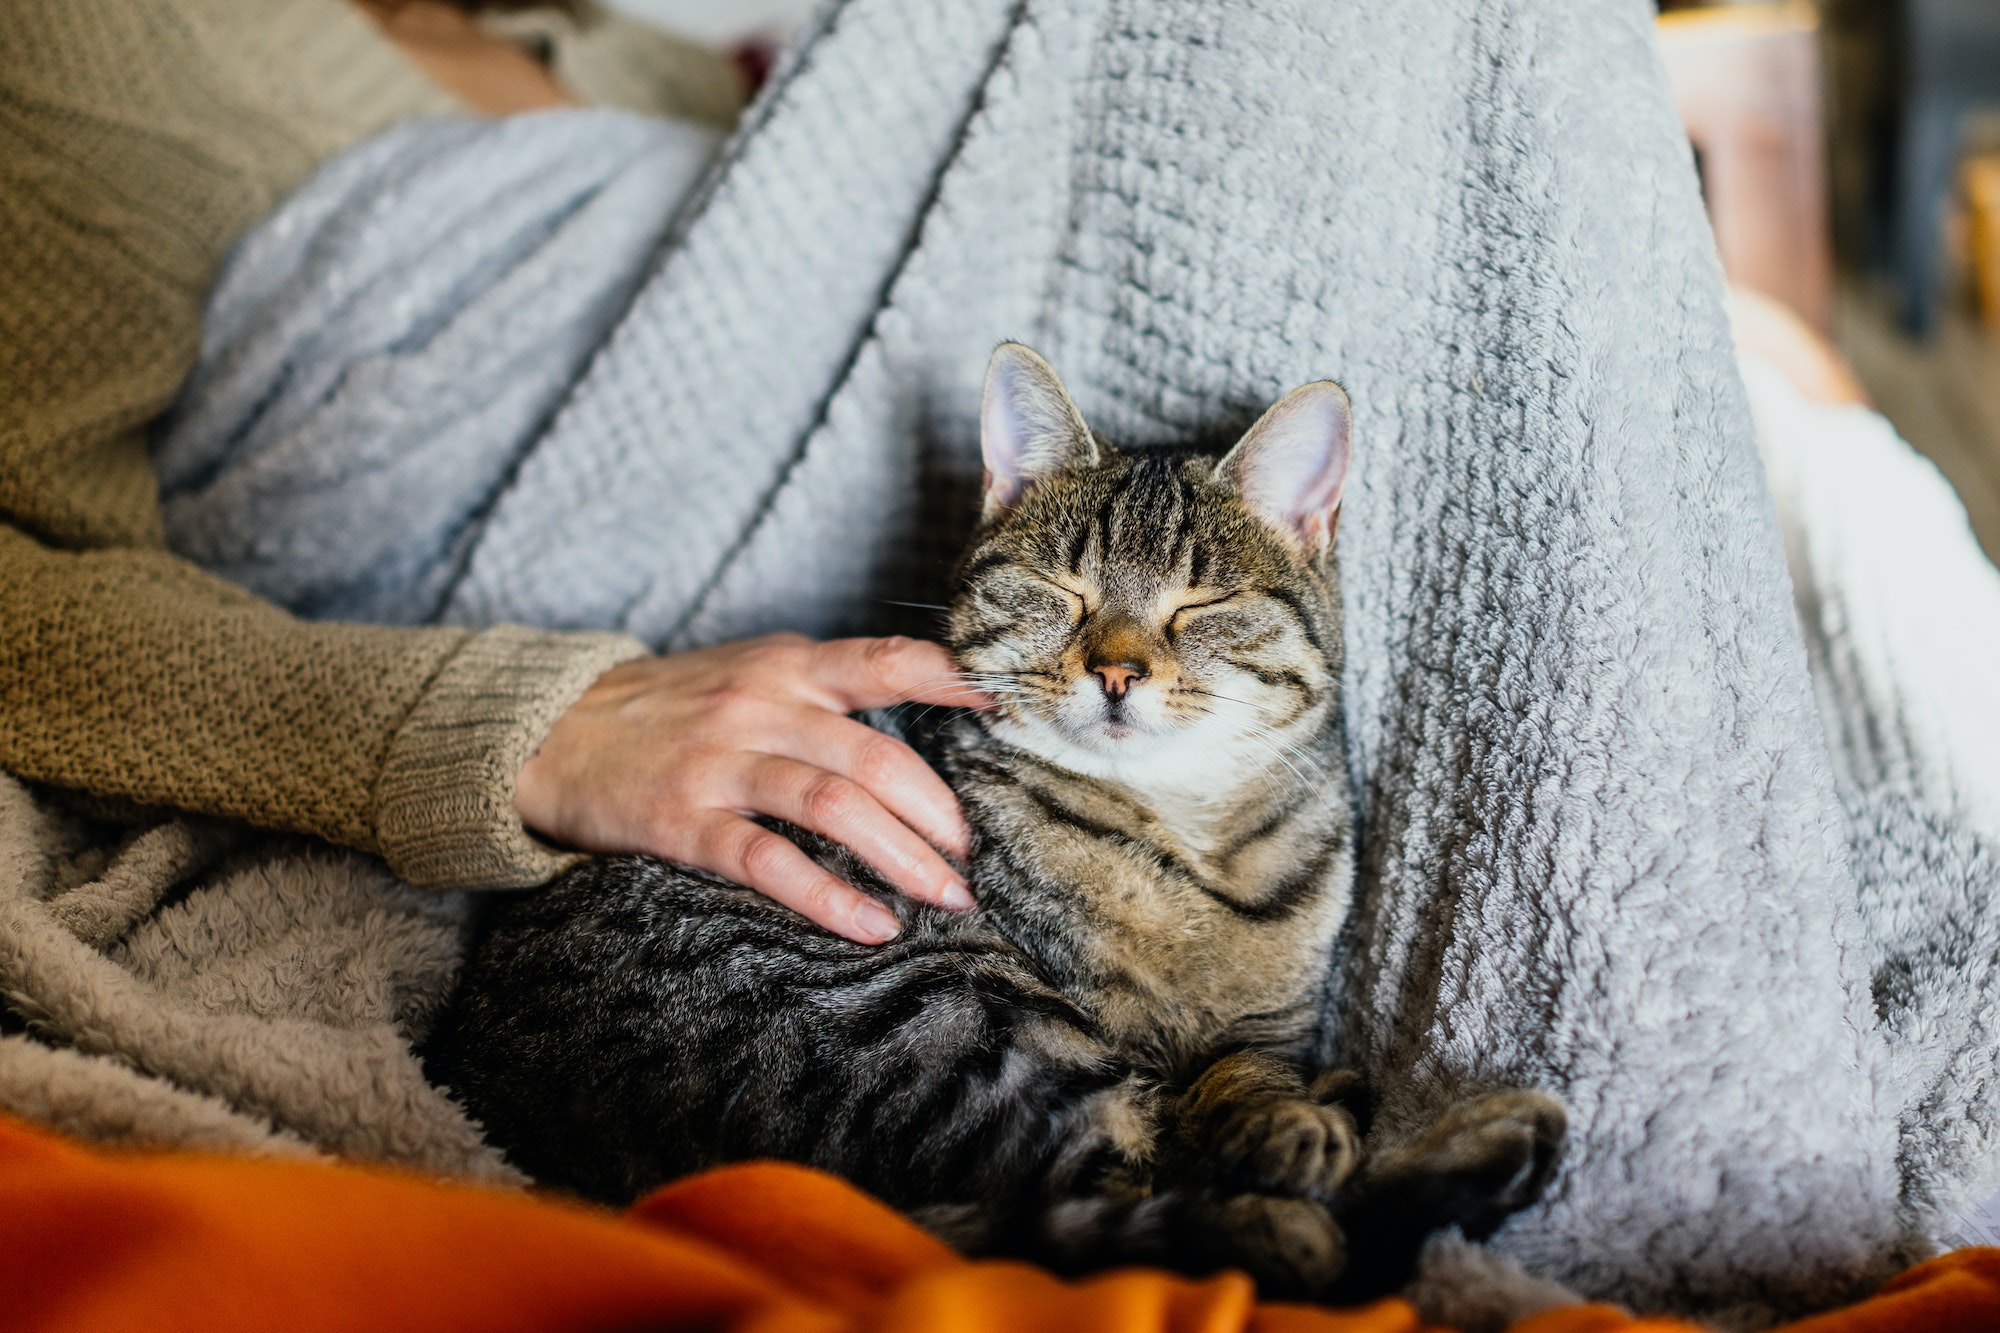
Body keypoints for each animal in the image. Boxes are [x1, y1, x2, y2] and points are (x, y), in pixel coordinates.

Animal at [430, 342, 1568, 1296]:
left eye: (1198, 606)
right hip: (946, 1005)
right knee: (1147, 1208)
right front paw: (1295, 1134)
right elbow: (1200, 1121)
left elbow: (1247, 1071)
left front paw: (1282, 1109)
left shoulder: (1269, 1023)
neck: (1188, 837)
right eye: (1061, 589)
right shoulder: (1104, 1032)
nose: (1116, 670)